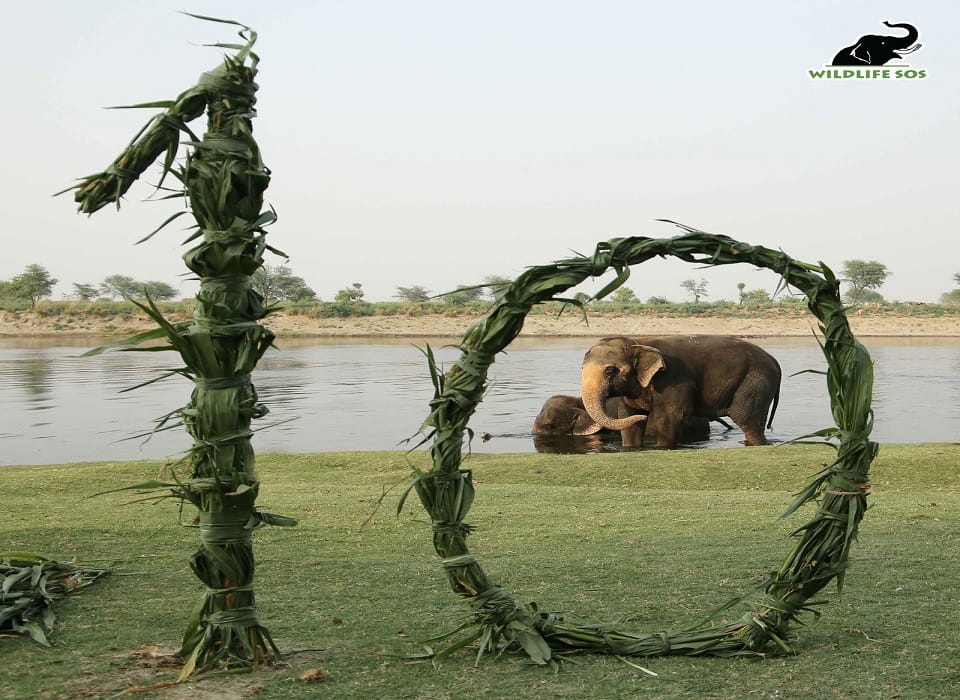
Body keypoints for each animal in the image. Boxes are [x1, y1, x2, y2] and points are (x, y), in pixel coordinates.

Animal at [580, 335, 781, 449]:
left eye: (610, 371)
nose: (646, 416)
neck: (638, 343)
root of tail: (775, 362)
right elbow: (627, 416)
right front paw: (632, 446)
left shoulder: (672, 379)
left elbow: (670, 415)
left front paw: (663, 448)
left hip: (755, 381)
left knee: (745, 418)